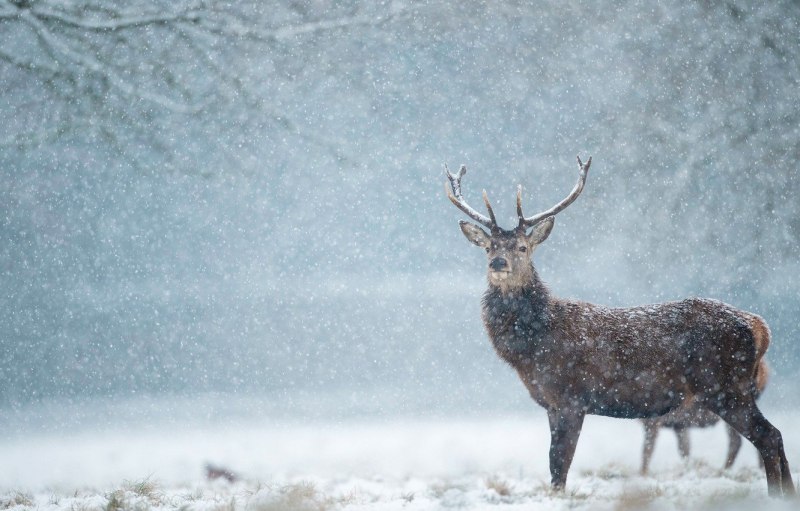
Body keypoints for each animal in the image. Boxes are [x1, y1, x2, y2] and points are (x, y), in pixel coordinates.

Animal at [445, 156, 796, 497]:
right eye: (489, 246)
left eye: (522, 247)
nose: (498, 263)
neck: (532, 349)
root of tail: (760, 327)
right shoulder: (552, 403)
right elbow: (555, 464)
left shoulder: (571, 398)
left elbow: (559, 464)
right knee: (774, 435)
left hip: (724, 386)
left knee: (767, 435)